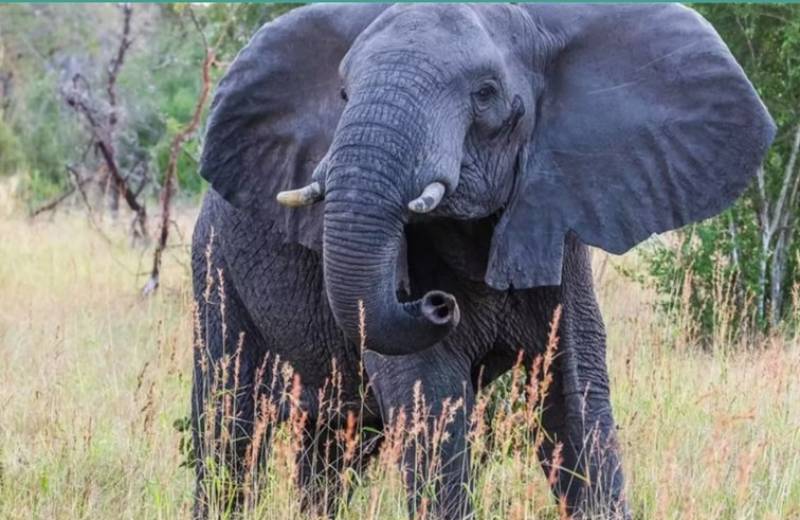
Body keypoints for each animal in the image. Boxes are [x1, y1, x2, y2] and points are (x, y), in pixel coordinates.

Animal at [190, 3, 774, 518]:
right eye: (343, 94)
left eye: (487, 94)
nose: (434, 303)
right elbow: (430, 395)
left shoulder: (557, 221)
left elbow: (576, 396)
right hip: (214, 264)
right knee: (228, 428)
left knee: (336, 448)